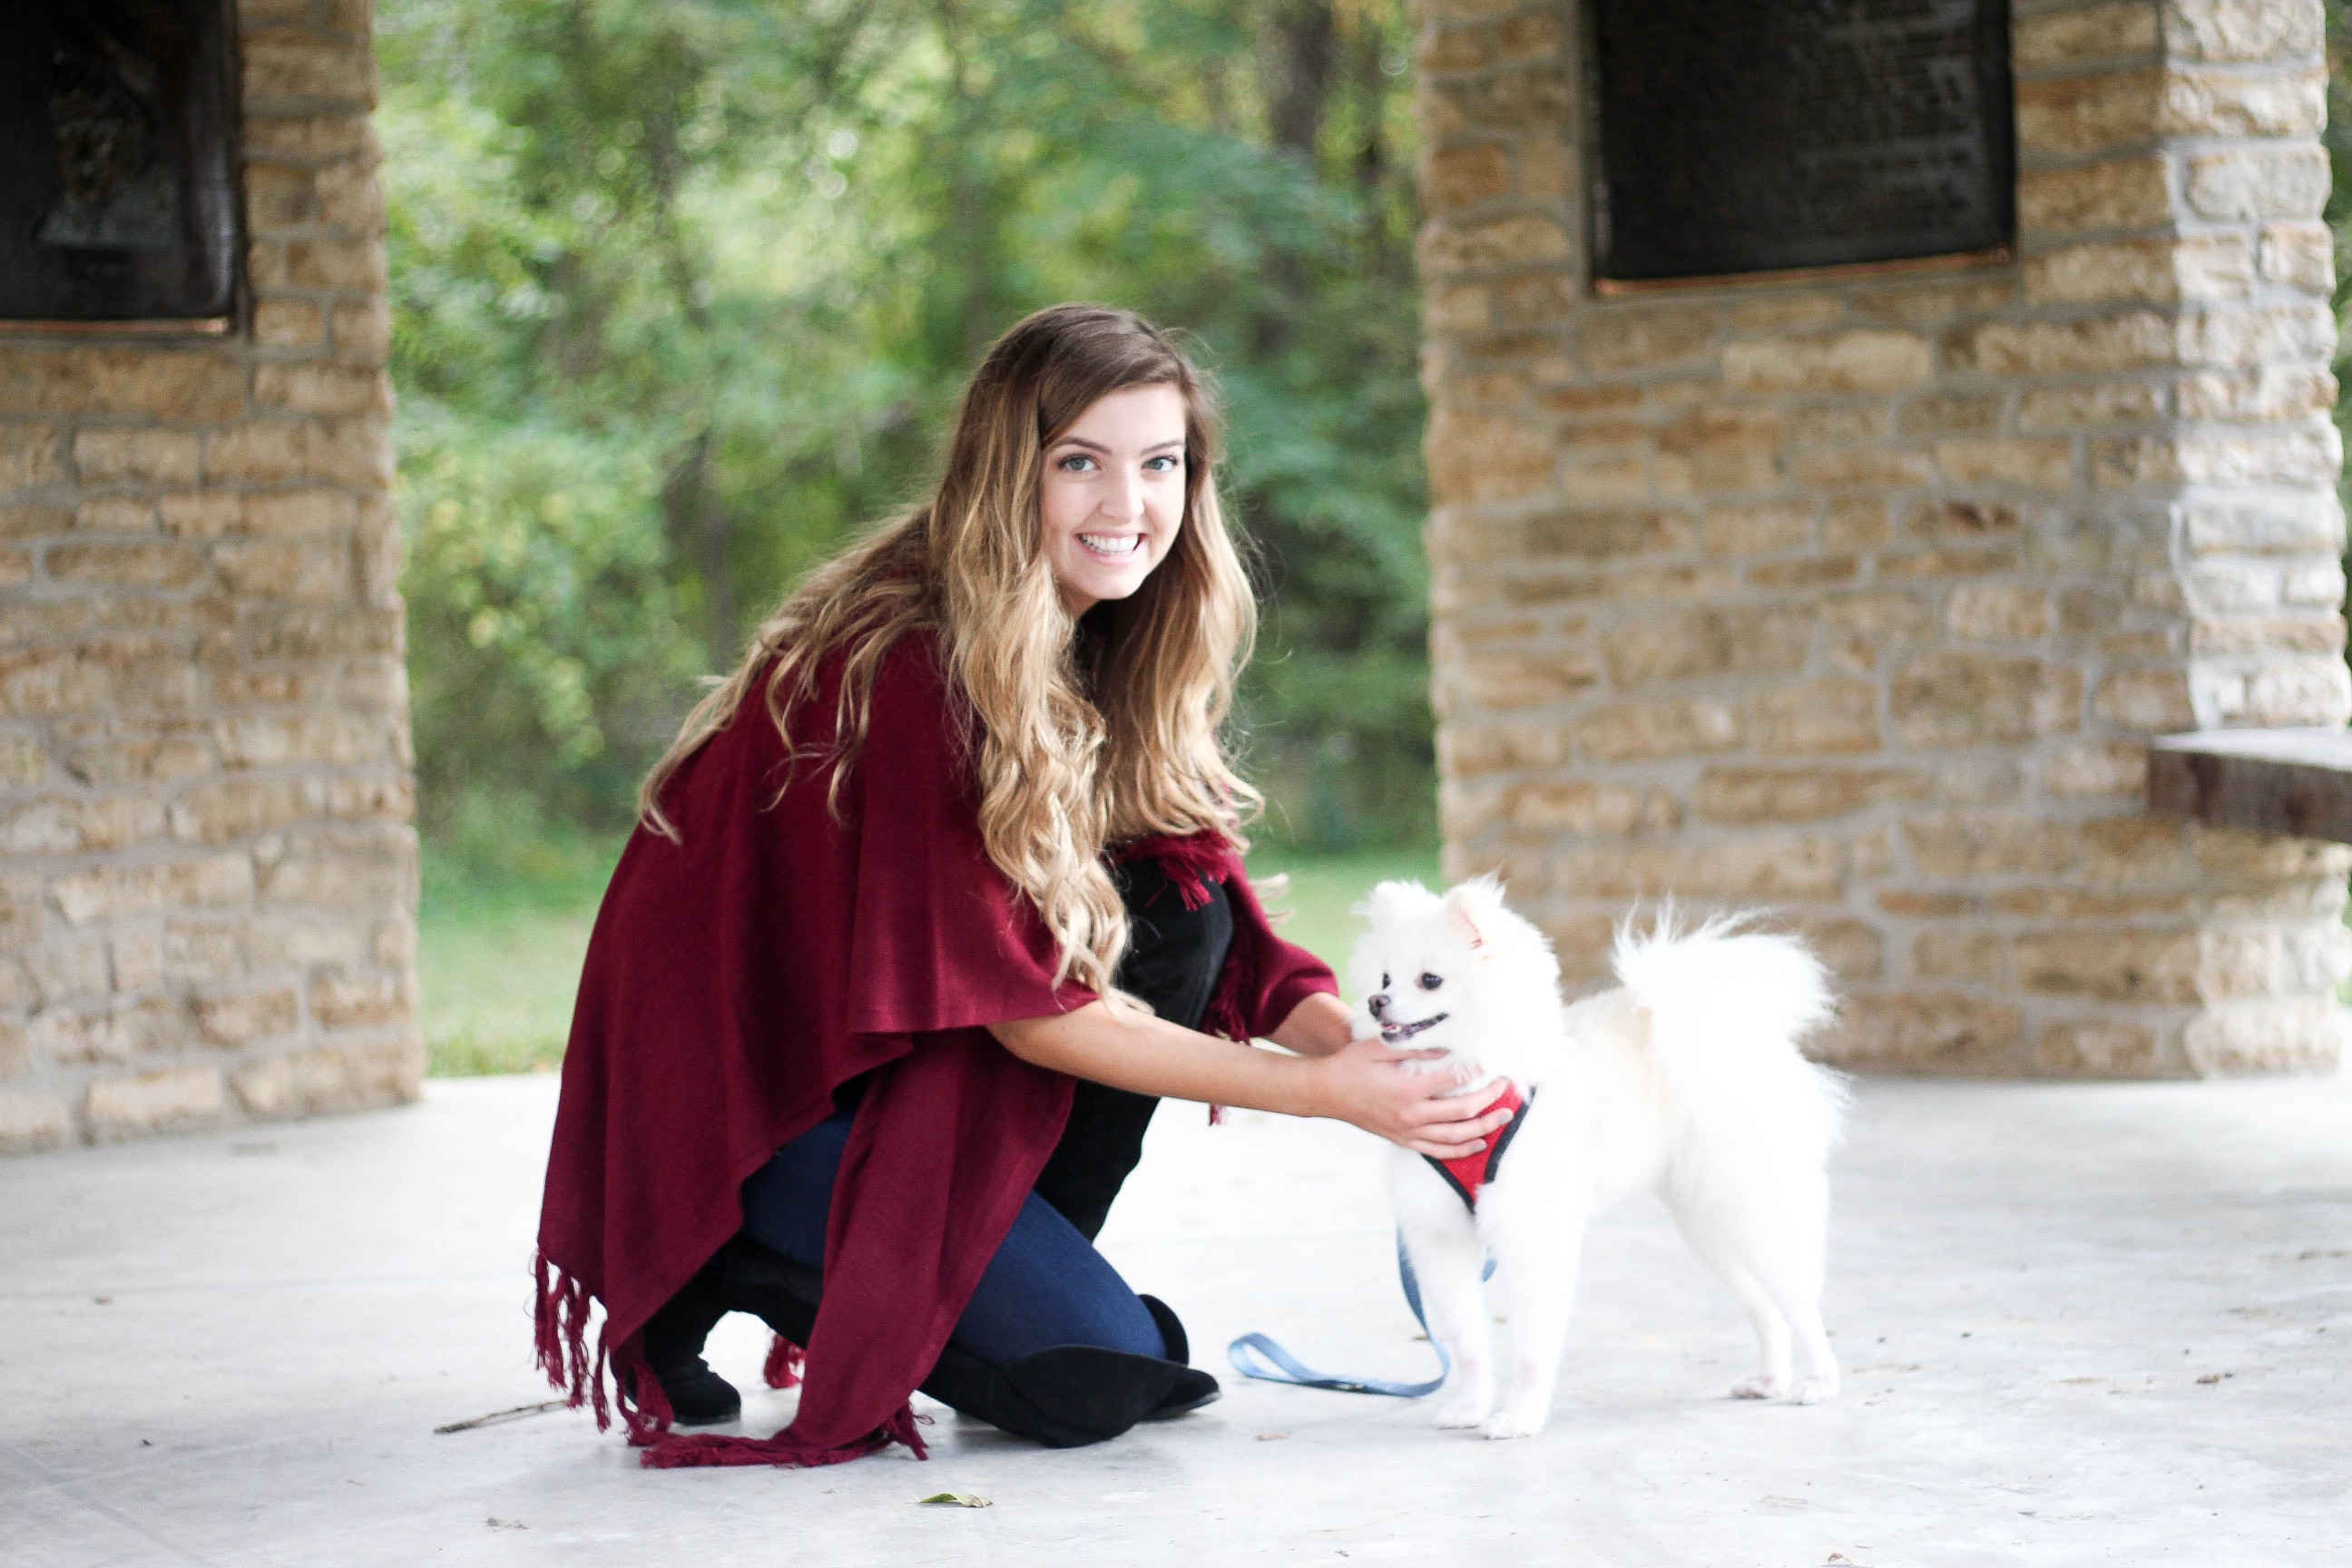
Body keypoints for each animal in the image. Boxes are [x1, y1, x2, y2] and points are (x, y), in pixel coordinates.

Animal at [1354, 878, 1844, 1438]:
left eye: (1430, 980)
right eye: (1384, 977)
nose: (1376, 1002)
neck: (1470, 1080)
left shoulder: (1533, 1236)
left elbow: (1530, 1348)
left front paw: (1518, 1417)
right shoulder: (1440, 1239)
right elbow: (1468, 1344)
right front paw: (1471, 1409)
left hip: (1755, 1211)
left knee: (1800, 1304)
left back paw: (1818, 1380)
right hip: (1707, 1224)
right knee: (1765, 1307)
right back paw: (1768, 1379)